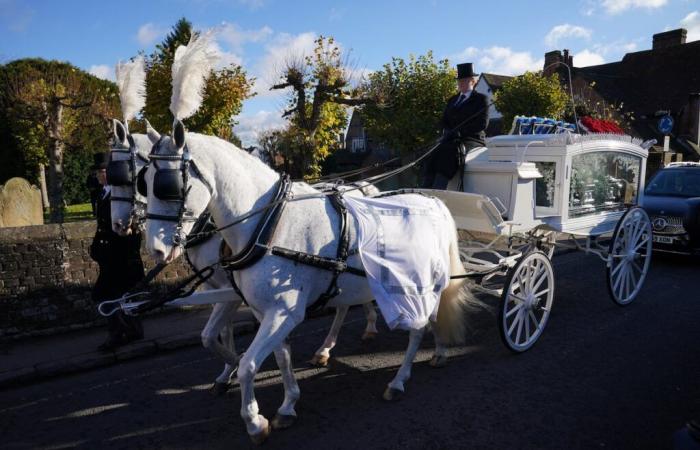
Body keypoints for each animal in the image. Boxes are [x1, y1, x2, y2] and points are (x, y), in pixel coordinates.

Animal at [142, 32, 470, 446]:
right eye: (142, 180)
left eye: (166, 185)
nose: (154, 249)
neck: (269, 226)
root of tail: (433, 201)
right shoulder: (267, 310)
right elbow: (278, 358)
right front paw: (287, 404)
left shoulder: (284, 310)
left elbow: (249, 363)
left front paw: (255, 420)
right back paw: (429, 351)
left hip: (418, 283)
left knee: (420, 325)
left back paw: (400, 378)